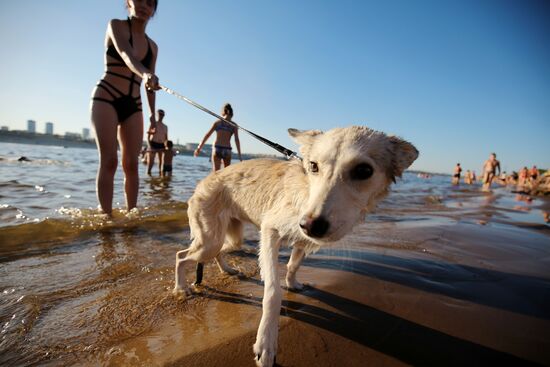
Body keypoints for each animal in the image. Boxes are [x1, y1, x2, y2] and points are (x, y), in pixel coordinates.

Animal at [175, 127, 420, 367]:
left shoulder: (305, 242)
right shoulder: (270, 232)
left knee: (219, 251)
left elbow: (293, 265)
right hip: (210, 239)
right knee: (181, 255)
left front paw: (292, 284)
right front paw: (266, 343)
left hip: (230, 238)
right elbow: (273, 292)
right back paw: (182, 287)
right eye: (313, 165)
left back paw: (227, 269)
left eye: (364, 170)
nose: (310, 225)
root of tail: (204, 181)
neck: (306, 193)